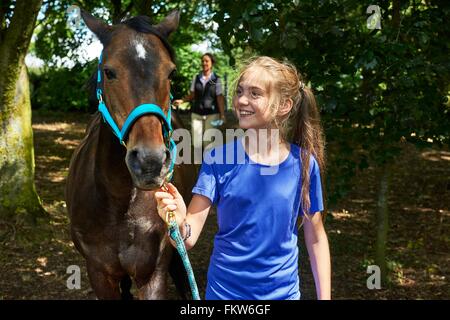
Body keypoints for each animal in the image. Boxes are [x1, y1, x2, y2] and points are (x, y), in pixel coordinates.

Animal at [64, 10, 193, 300]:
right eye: (109, 72)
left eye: (171, 72)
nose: (150, 161)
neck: (120, 203)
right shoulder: (100, 274)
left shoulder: (153, 274)